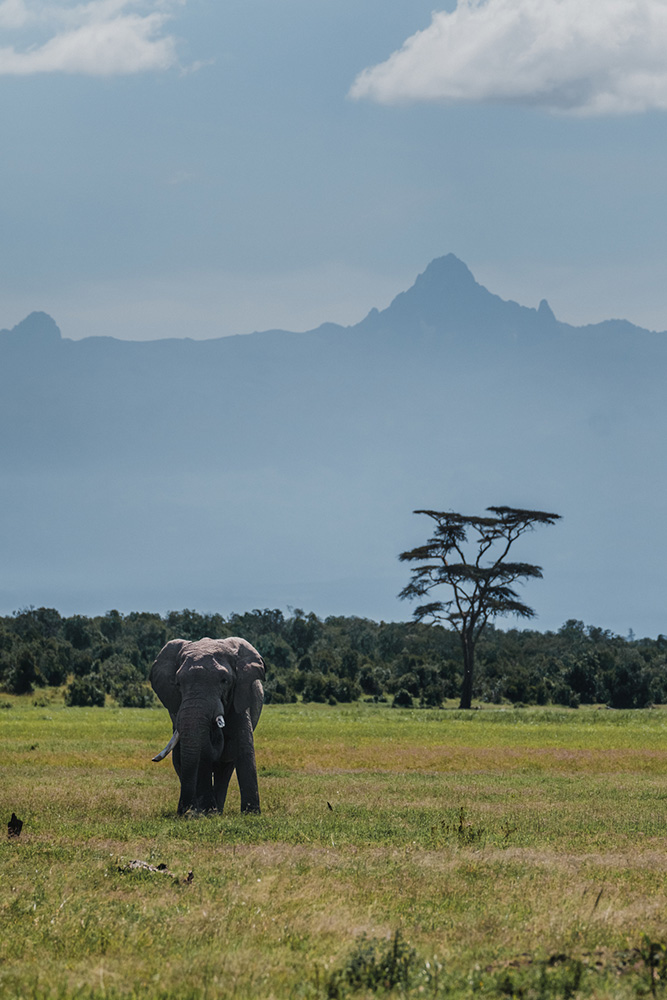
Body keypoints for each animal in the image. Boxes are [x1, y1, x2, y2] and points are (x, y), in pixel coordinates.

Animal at [151, 640, 266, 812]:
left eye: (224, 681)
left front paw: (251, 814)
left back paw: (216, 810)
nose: (183, 812)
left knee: (225, 768)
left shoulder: (239, 698)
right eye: (178, 684)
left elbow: (244, 749)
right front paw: (202, 812)